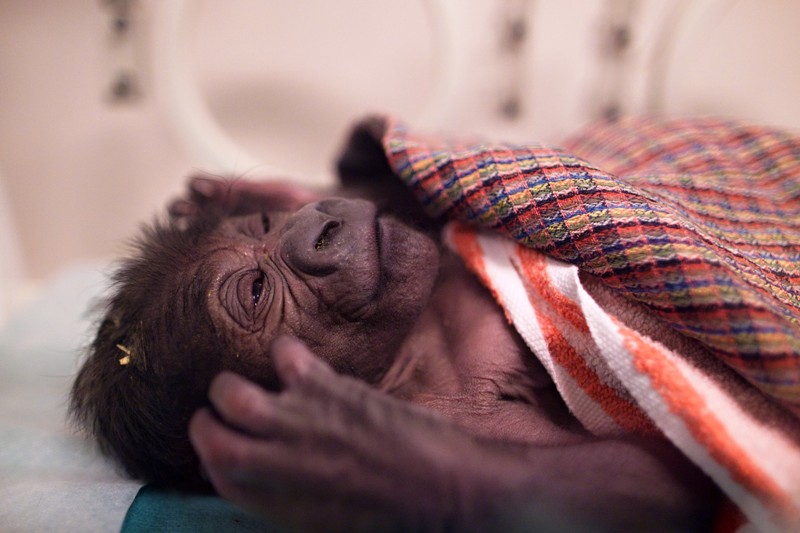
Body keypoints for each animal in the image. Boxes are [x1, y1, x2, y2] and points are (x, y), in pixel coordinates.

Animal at [72, 178, 720, 528]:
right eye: (255, 290)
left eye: (264, 224)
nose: (317, 230)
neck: (413, 347)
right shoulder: (457, 409)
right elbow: (656, 483)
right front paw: (359, 454)